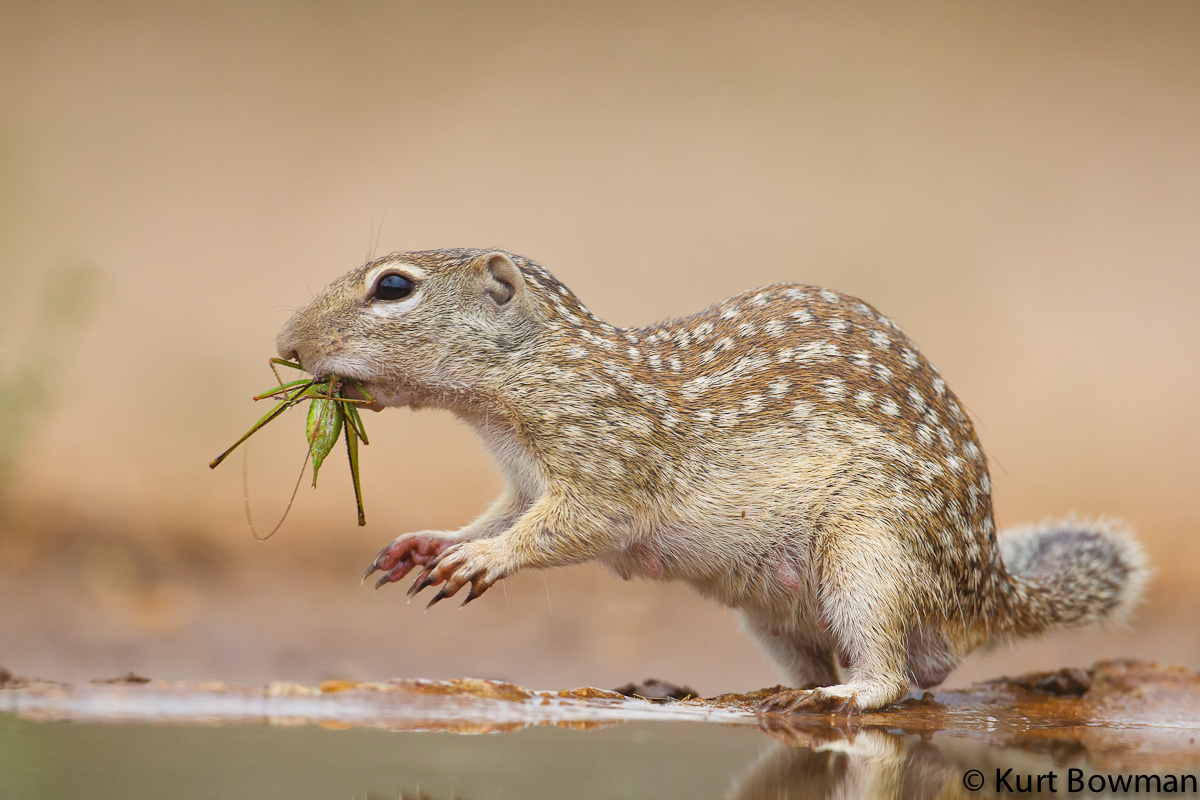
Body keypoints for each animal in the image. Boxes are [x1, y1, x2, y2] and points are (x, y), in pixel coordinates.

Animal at [276, 248, 1147, 714]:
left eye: (394, 286)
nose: (284, 346)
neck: (532, 379)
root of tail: (990, 588)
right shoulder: (523, 483)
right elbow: (500, 514)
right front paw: (433, 543)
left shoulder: (606, 463)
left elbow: (568, 526)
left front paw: (484, 561)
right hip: (775, 614)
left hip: (869, 550)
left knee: (894, 679)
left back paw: (845, 696)